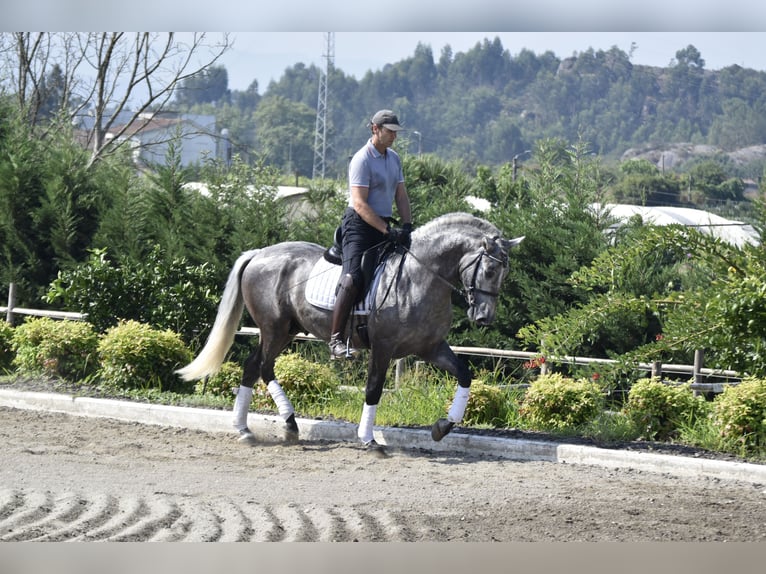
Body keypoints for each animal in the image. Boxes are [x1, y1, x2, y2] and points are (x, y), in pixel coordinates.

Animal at [176, 212, 523, 449]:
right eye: (489, 270)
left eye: (505, 274)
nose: (484, 318)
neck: (420, 277)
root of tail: (259, 253)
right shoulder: (383, 347)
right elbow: (373, 389)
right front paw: (368, 439)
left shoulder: (431, 347)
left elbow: (465, 375)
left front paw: (442, 427)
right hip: (274, 328)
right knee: (263, 367)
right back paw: (282, 424)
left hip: (284, 330)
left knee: (253, 367)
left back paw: (250, 428)